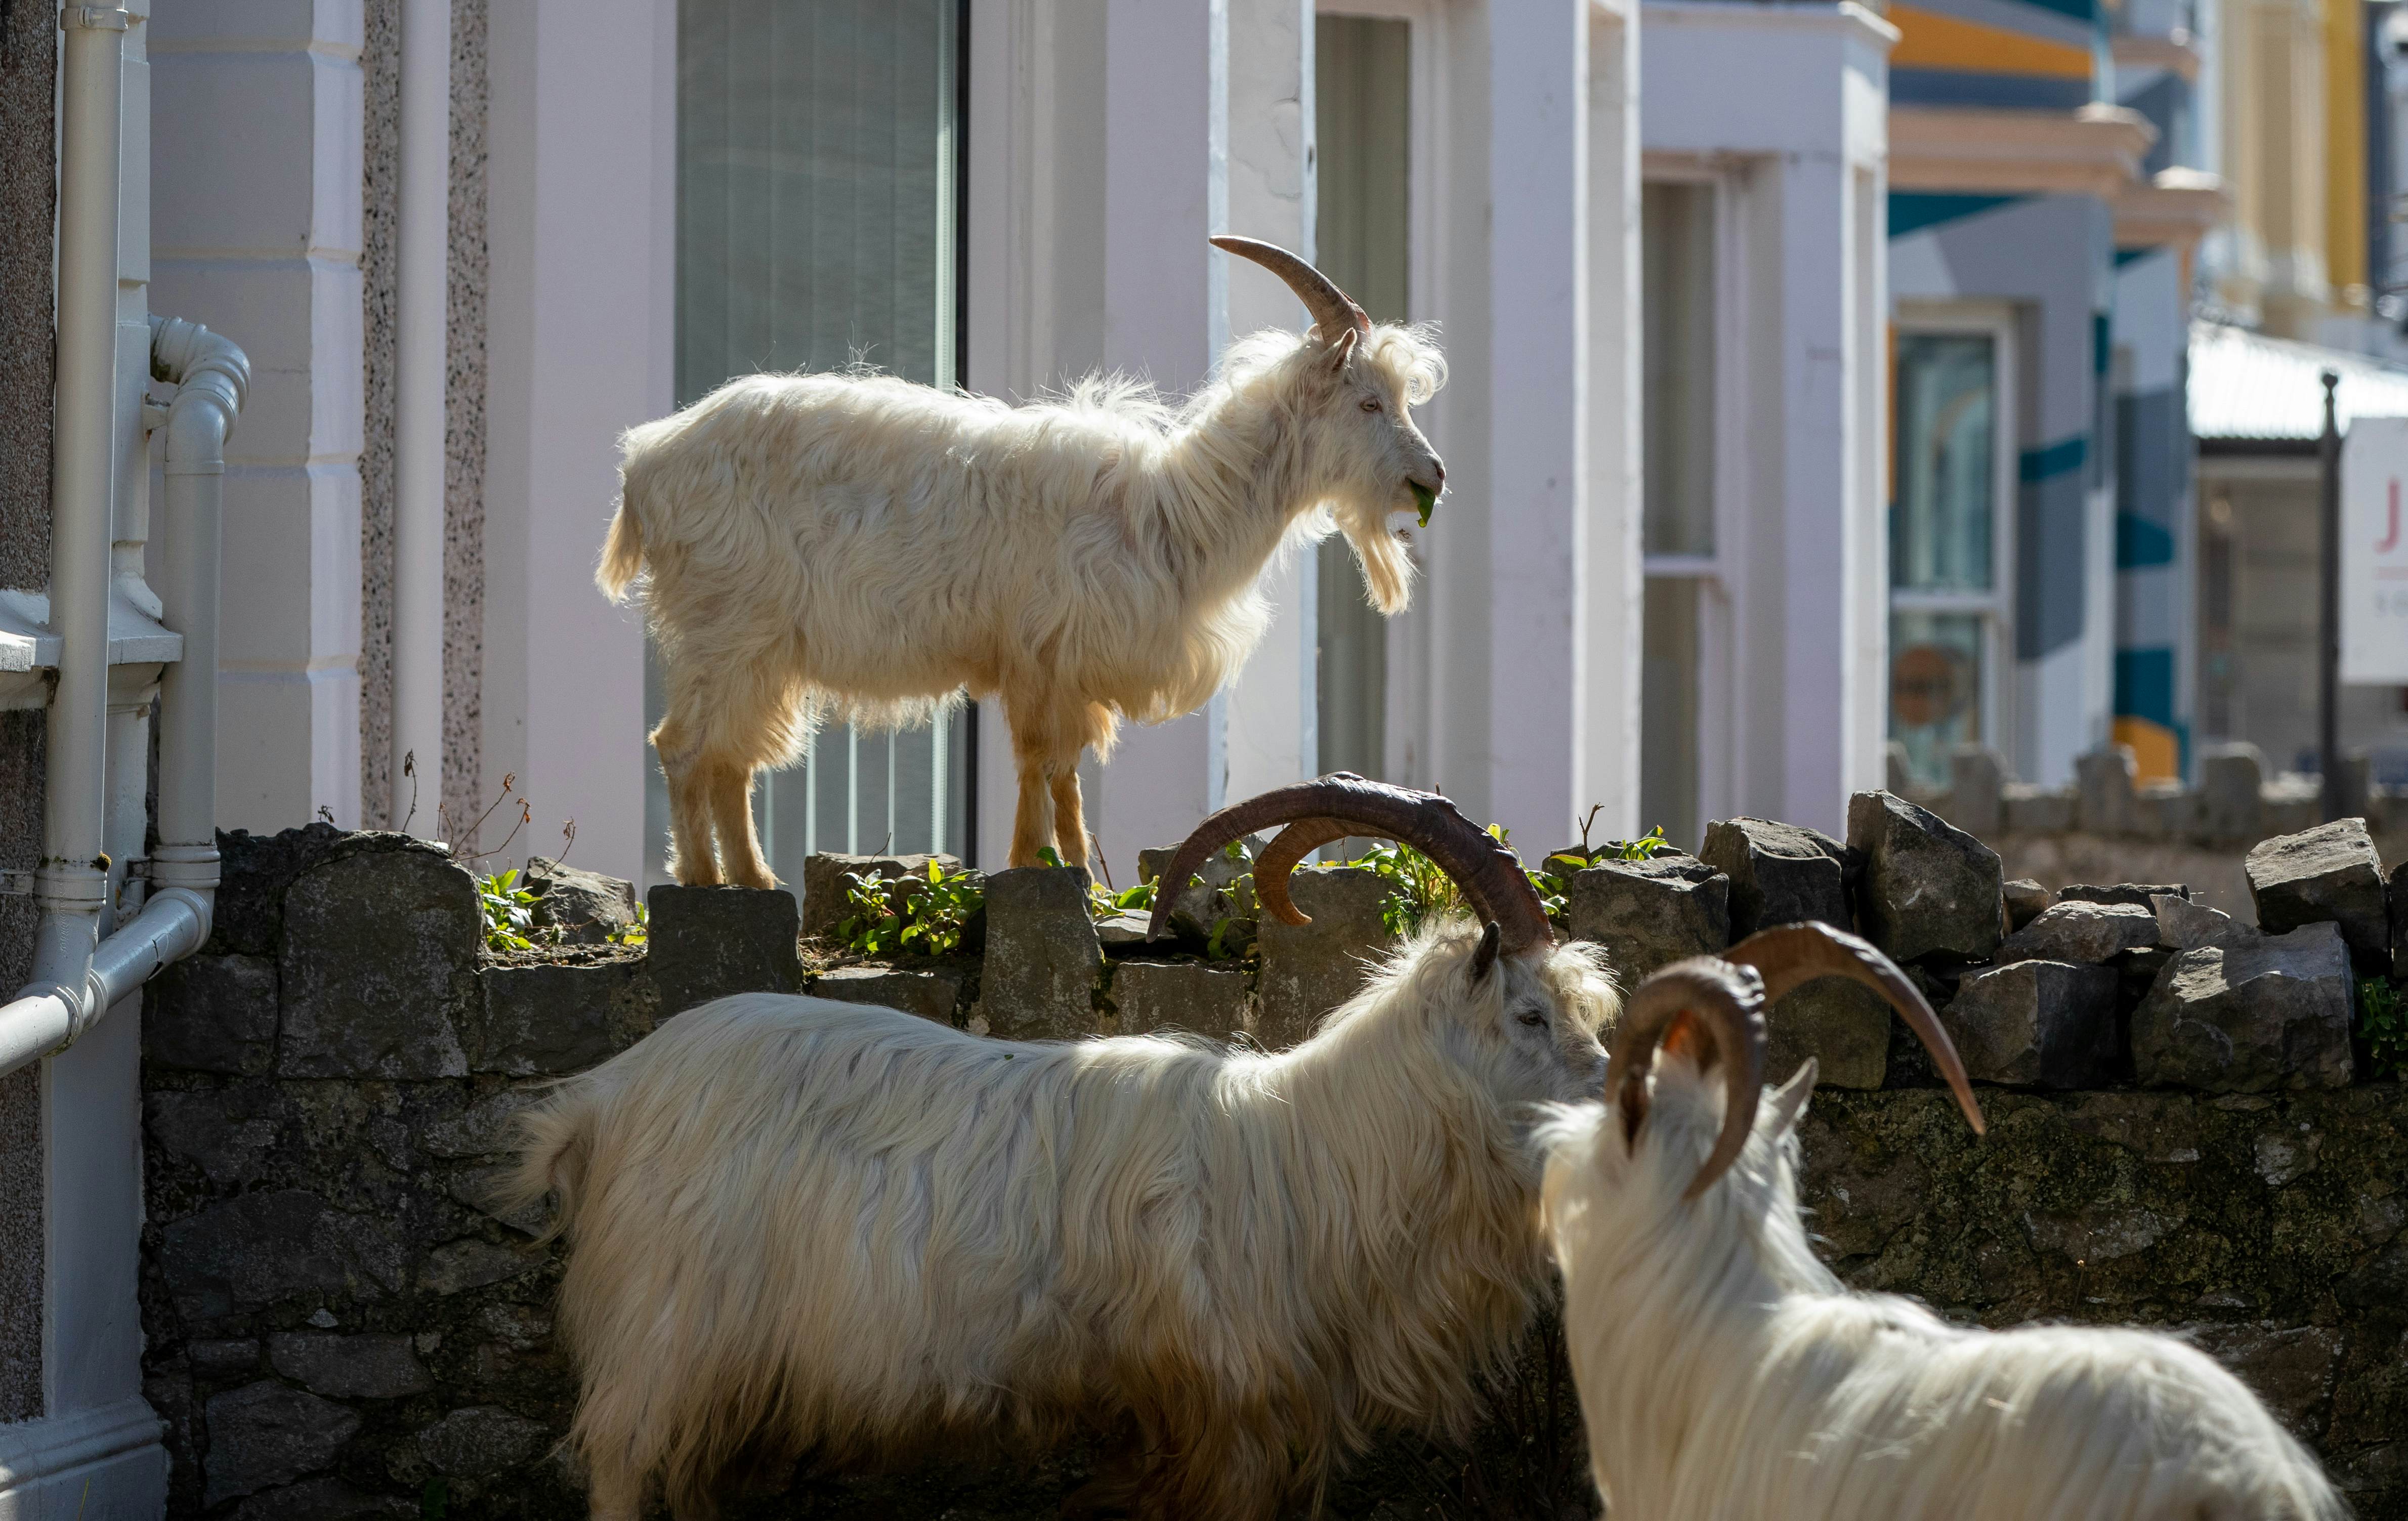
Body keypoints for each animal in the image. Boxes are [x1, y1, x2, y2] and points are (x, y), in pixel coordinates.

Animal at [505, 777, 1611, 1520]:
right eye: (1527, 1015)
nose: (1612, 1110)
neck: (1312, 1153)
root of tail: (609, 1094)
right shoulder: (1227, 1417)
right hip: (663, 1335)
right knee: (620, 1468)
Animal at [597, 239, 1447, 885]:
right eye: (1368, 402)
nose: (1432, 476)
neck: (1171, 511)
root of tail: (646, 461)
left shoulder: (1065, 670)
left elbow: (1065, 776)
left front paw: (1074, 873)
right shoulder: (1042, 657)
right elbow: (1041, 763)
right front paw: (1033, 864)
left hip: (757, 651)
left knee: (728, 760)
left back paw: (753, 878)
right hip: (726, 629)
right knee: (684, 749)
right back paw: (705, 880)